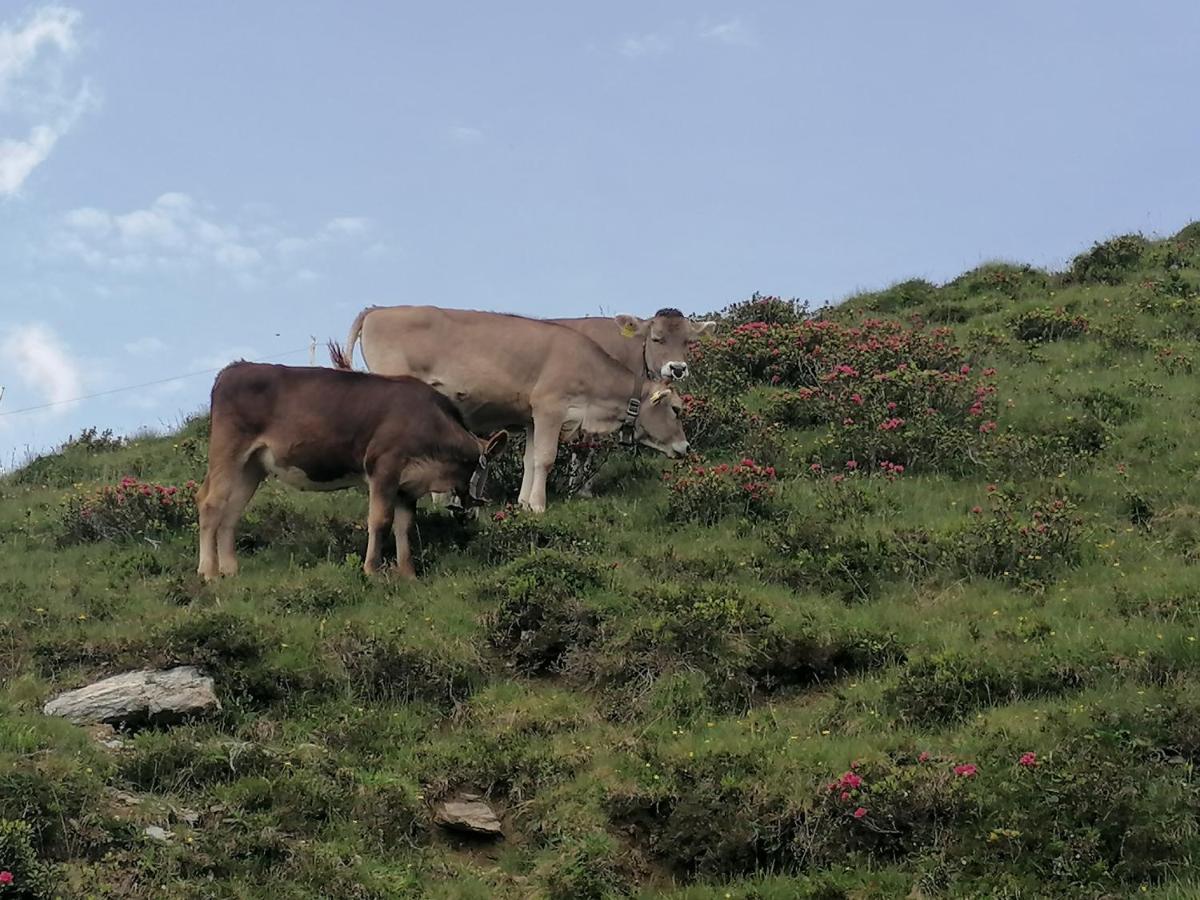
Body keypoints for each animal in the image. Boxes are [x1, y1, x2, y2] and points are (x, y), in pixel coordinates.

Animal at [196, 362, 506, 580]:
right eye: (485, 468)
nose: (474, 509)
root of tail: (233, 369)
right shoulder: (384, 467)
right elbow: (380, 520)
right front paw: (372, 570)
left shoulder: (407, 487)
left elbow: (404, 527)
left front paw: (408, 575)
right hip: (228, 448)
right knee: (211, 504)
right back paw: (208, 572)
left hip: (252, 465)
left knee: (231, 512)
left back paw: (230, 570)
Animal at [338, 304, 696, 511]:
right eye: (676, 409)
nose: (685, 447)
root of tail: (378, 310)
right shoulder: (551, 408)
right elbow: (547, 458)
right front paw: (539, 506)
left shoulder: (532, 417)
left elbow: (529, 459)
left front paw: (524, 502)